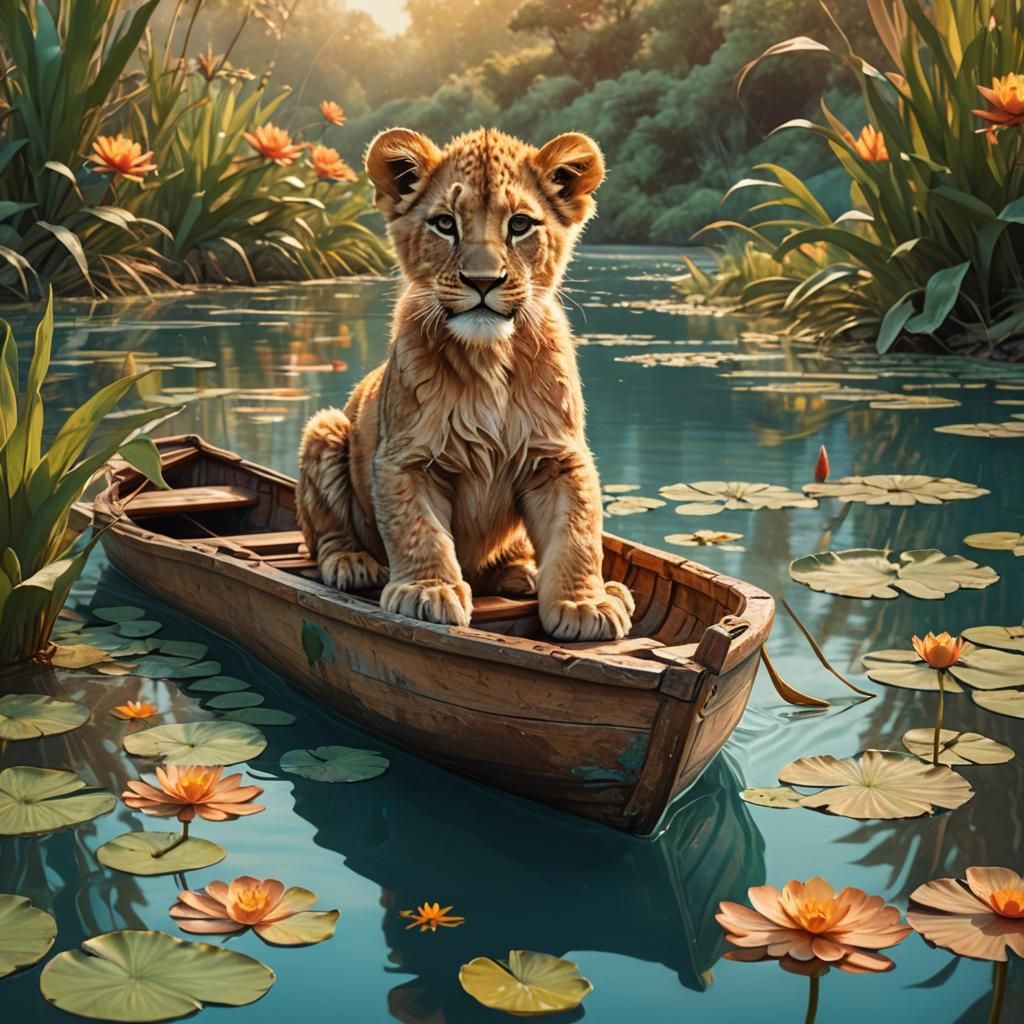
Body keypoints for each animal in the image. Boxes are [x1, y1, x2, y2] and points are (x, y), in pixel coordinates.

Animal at [295, 126, 634, 642]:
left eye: (520, 225)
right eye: (444, 224)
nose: (482, 281)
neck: (489, 359)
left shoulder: (559, 457)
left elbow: (578, 532)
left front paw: (584, 602)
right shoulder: (406, 459)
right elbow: (419, 531)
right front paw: (427, 592)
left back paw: (536, 575)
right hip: (325, 428)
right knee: (325, 533)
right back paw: (352, 563)